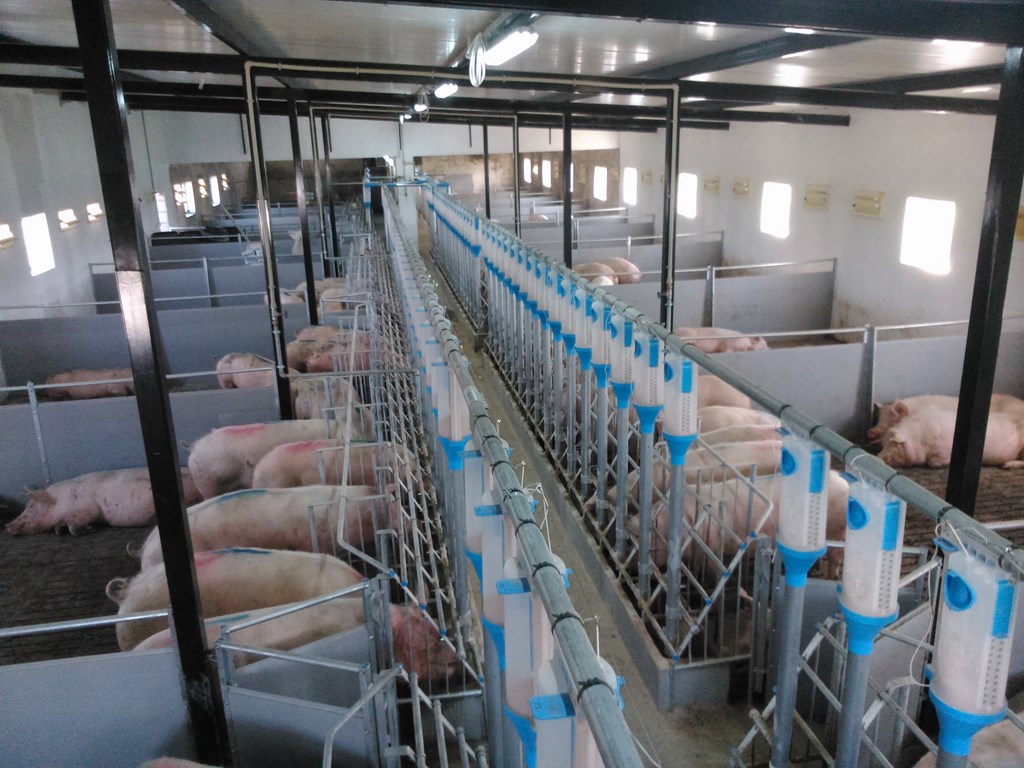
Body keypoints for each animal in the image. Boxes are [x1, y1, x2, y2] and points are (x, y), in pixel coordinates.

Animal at [5, 467, 202, 536]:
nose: (7, 526)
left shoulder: (86, 509)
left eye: (30, 506)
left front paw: (89, 529)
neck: (59, 501)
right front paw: (59, 531)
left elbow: (75, 526)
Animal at [878, 409, 1024, 469]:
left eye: (893, 444)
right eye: (882, 444)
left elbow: (933, 463)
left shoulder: (944, 451)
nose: (878, 457)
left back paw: (1007, 466)